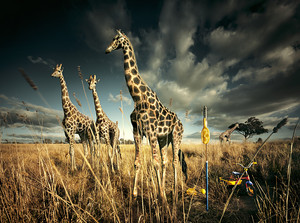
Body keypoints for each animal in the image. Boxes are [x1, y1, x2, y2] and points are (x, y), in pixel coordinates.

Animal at [105, 28, 188, 203]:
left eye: (116, 38)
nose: (107, 50)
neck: (137, 97)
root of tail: (181, 123)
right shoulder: (137, 131)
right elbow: (138, 162)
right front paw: (135, 194)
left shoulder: (150, 130)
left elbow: (154, 163)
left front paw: (161, 196)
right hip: (164, 139)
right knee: (165, 161)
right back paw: (166, 189)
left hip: (176, 136)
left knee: (174, 162)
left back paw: (175, 191)